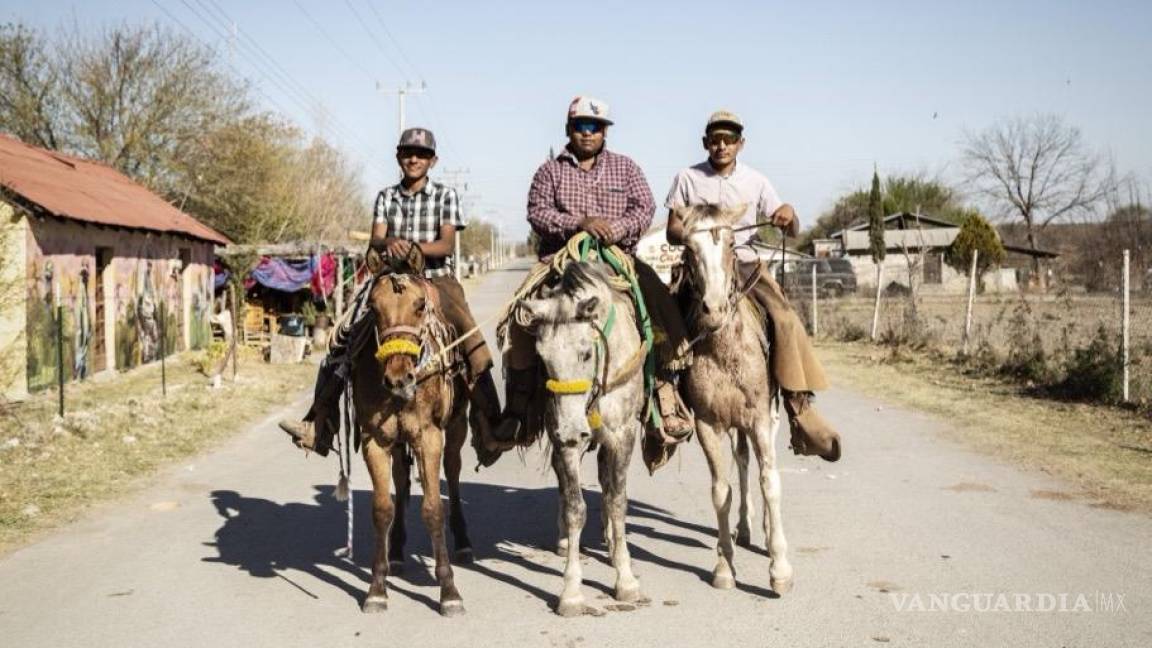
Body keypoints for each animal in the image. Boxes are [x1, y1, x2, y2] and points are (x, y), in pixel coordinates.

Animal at [354, 270, 472, 613]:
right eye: (373, 308)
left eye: (419, 306)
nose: (398, 380)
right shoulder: (375, 440)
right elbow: (382, 509)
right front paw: (376, 588)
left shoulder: (428, 438)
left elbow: (433, 509)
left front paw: (449, 591)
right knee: (401, 480)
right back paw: (395, 551)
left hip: (456, 428)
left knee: (454, 474)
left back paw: (464, 543)